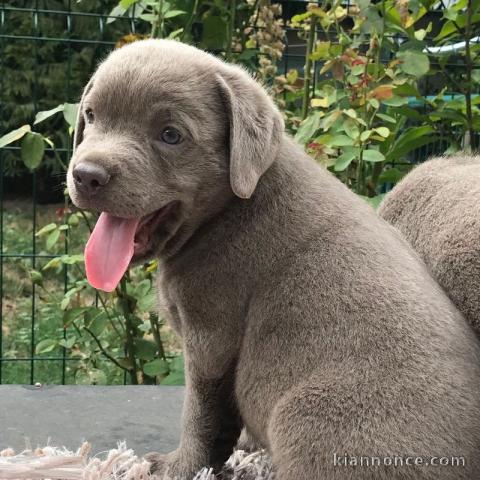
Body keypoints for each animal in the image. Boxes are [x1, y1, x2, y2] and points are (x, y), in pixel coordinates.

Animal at [66, 39, 480, 478]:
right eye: (91, 115)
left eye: (171, 135)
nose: (87, 175)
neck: (228, 210)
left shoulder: (211, 340)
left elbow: (200, 414)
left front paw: (178, 466)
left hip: (305, 416)